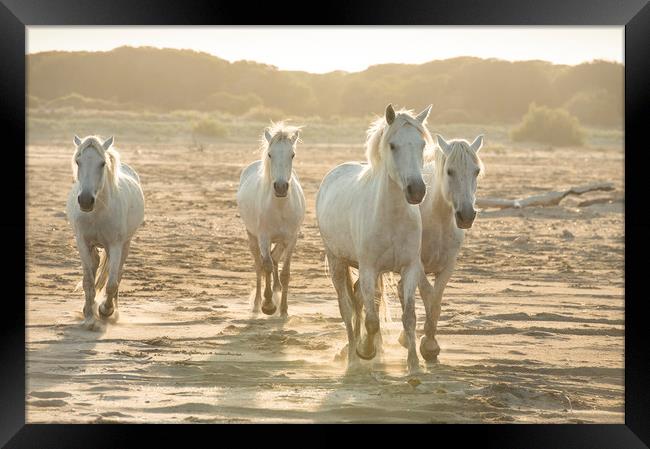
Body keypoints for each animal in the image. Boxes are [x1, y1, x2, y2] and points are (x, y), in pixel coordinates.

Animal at [66, 135, 144, 328]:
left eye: (102, 163)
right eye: (78, 161)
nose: (86, 200)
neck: (98, 212)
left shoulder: (115, 245)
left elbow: (111, 283)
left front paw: (105, 310)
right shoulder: (83, 243)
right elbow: (88, 280)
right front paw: (89, 316)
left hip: (125, 244)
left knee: (118, 273)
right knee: (94, 266)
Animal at [237, 122, 306, 316]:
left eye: (292, 154)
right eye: (270, 154)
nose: (281, 187)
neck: (280, 206)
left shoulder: (291, 239)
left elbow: (285, 273)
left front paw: (283, 309)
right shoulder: (264, 238)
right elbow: (266, 266)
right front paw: (268, 305)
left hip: (281, 241)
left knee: (275, 259)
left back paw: (276, 290)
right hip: (252, 237)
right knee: (259, 265)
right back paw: (256, 304)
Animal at [314, 104, 430, 372]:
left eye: (421, 145)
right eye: (393, 145)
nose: (417, 190)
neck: (392, 218)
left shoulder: (409, 268)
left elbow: (409, 317)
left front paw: (414, 364)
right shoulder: (368, 269)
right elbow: (372, 320)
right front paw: (365, 350)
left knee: (357, 300)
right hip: (337, 262)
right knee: (347, 308)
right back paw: (352, 357)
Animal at [390, 133, 480, 360]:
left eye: (476, 171)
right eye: (449, 171)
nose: (466, 216)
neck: (438, 221)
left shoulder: (448, 266)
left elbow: (437, 300)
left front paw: (430, 342)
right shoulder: (418, 266)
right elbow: (428, 296)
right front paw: (429, 344)